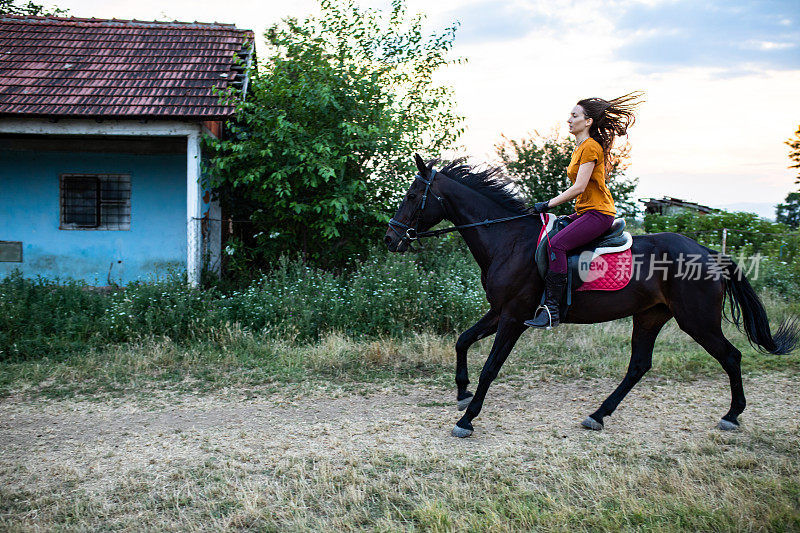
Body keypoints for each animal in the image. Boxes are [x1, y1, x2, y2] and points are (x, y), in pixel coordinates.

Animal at [384, 154, 796, 436]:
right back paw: (598, 415)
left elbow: (491, 367)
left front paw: (467, 419)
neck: (508, 240)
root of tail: (710, 253)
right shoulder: (500, 311)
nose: (391, 239)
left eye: (414, 195)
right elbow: (462, 340)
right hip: (651, 315)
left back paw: (732, 415)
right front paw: (462, 393)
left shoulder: (515, 317)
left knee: (731, 356)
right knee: (639, 365)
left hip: (697, 320)